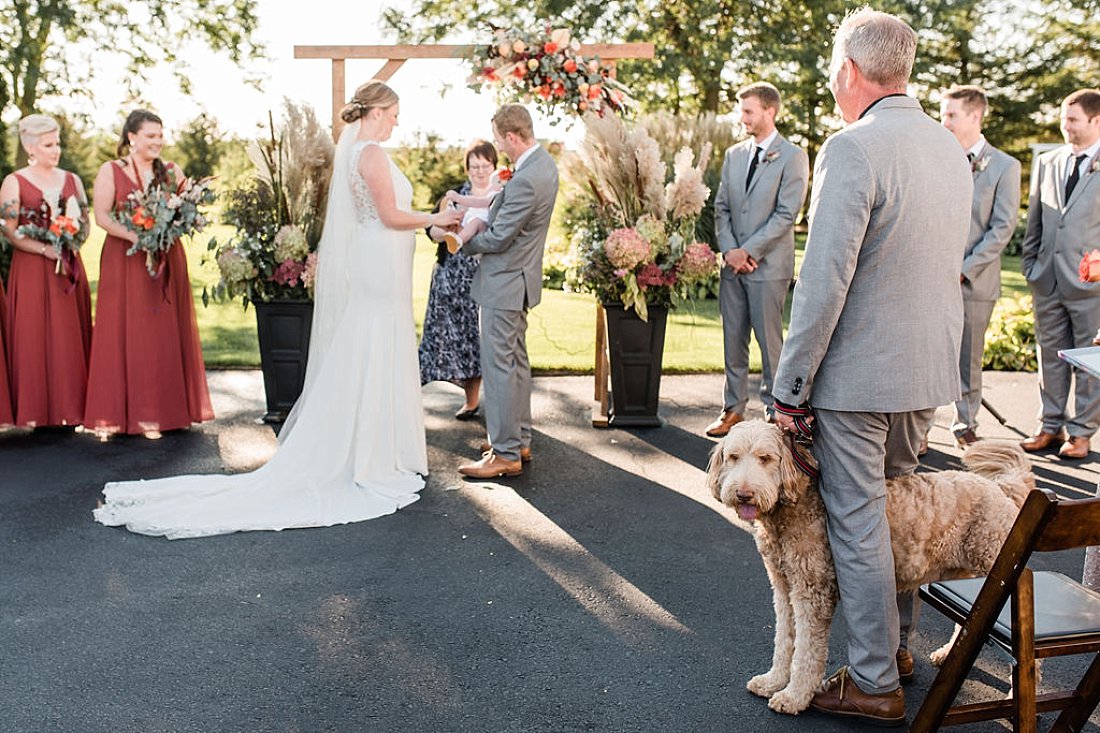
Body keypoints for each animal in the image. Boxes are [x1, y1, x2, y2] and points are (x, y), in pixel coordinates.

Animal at [708, 420, 1034, 708]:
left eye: (765, 458)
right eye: (734, 457)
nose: (744, 494)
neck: (795, 505)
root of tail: (1000, 488)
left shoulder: (813, 593)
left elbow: (807, 651)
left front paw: (794, 696)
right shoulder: (784, 586)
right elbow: (784, 639)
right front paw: (773, 680)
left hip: (998, 573)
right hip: (966, 575)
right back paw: (947, 652)